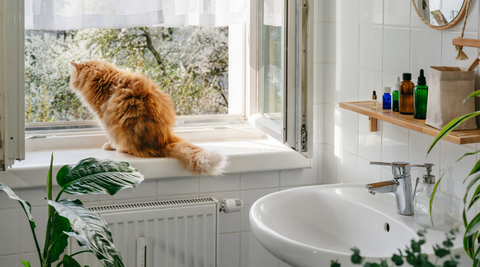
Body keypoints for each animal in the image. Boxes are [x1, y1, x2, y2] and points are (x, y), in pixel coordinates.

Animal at [69, 61, 227, 178]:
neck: (104, 79)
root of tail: (164, 140)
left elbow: (110, 138)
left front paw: (109, 145)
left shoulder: (104, 117)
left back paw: (118, 148)